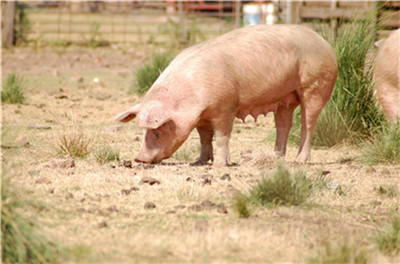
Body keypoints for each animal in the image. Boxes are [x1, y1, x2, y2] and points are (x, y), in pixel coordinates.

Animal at [115, 24, 338, 165]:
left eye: (157, 132)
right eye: (144, 132)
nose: (139, 158)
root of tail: (326, 44)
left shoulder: (226, 106)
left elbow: (222, 136)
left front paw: (220, 164)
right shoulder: (202, 117)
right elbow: (204, 138)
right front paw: (199, 161)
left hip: (315, 85)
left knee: (308, 124)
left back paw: (300, 161)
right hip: (285, 98)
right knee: (283, 125)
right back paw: (276, 158)